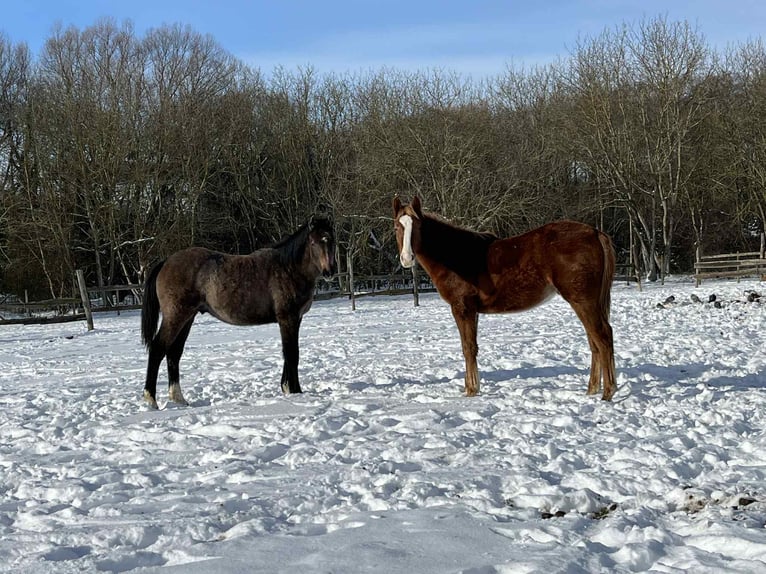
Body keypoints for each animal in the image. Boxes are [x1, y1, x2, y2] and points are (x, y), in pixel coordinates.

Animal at [140, 213, 336, 409]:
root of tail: (166, 261)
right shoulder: (288, 319)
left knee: (174, 353)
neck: (288, 268)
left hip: (187, 318)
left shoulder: (295, 319)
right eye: (313, 242)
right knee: (158, 349)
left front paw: (288, 388)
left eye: (332, 240)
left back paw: (179, 399)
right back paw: (151, 399)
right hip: (175, 316)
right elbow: (292, 354)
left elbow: (288, 353)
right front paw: (295, 391)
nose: (329, 271)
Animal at [393, 196, 616, 401]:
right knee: (594, 341)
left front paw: (471, 390)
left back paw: (608, 392)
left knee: (602, 337)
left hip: (583, 301)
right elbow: (472, 347)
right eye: (397, 226)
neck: (456, 257)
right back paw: (591, 390)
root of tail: (595, 233)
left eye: (418, 226)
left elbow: (468, 347)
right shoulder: (473, 311)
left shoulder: (462, 308)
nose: (407, 258)